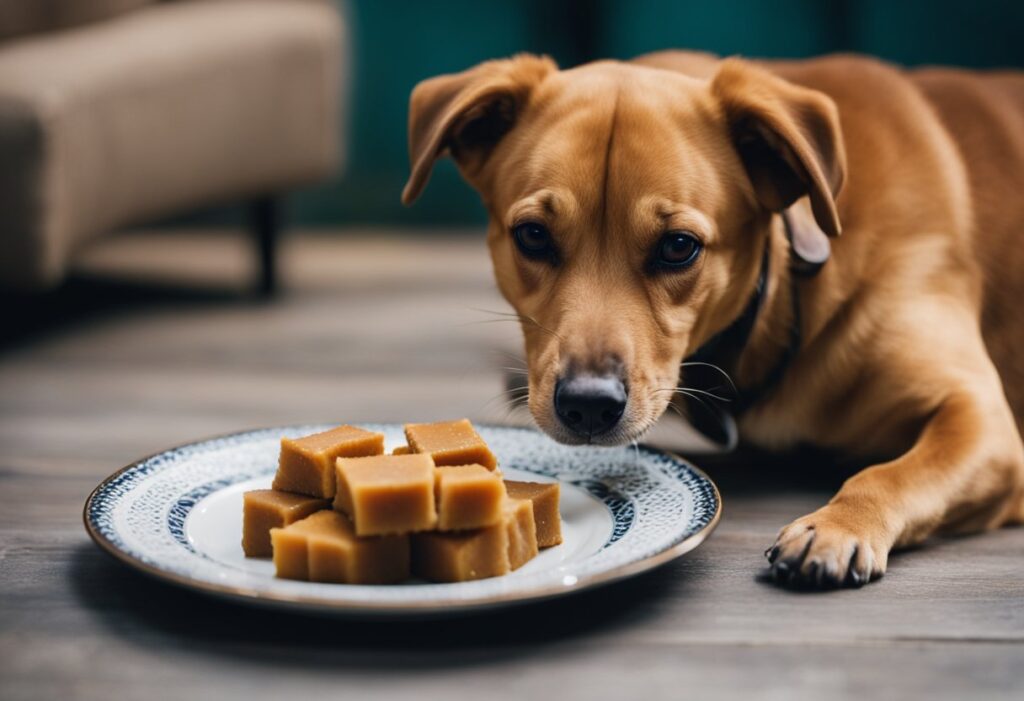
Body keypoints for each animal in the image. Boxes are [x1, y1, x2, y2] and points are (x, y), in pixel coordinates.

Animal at [399, 50, 1024, 585]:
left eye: (679, 247)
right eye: (532, 235)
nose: (587, 405)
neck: (790, 295)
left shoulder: (983, 423)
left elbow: (891, 472)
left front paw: (838, 526)